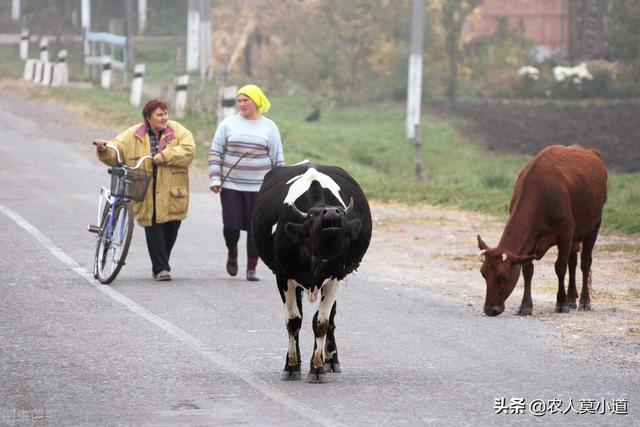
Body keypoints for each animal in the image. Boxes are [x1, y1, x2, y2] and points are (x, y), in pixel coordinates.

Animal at [252, 162, 372, 382]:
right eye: (310, 215)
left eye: (342, 213)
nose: (331, 211)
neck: (316, 257)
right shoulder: (284, 277)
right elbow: (293, 321)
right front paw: (292, 366)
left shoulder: (335, 277)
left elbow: (321, 322)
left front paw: (317, 367)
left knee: (331, 317)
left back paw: (331, 360)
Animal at [478, 145, 608, 316]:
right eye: (483, 274)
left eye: (503, 277)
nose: (489, 309)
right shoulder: (531, 240)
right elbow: (527, 269)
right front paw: (525, 305)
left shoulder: (565, 234)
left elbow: (560, 267)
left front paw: (561, 303)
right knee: (573, 263)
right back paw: (571, 298)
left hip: (593, 227)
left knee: (585, 263)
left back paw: (584, 301)